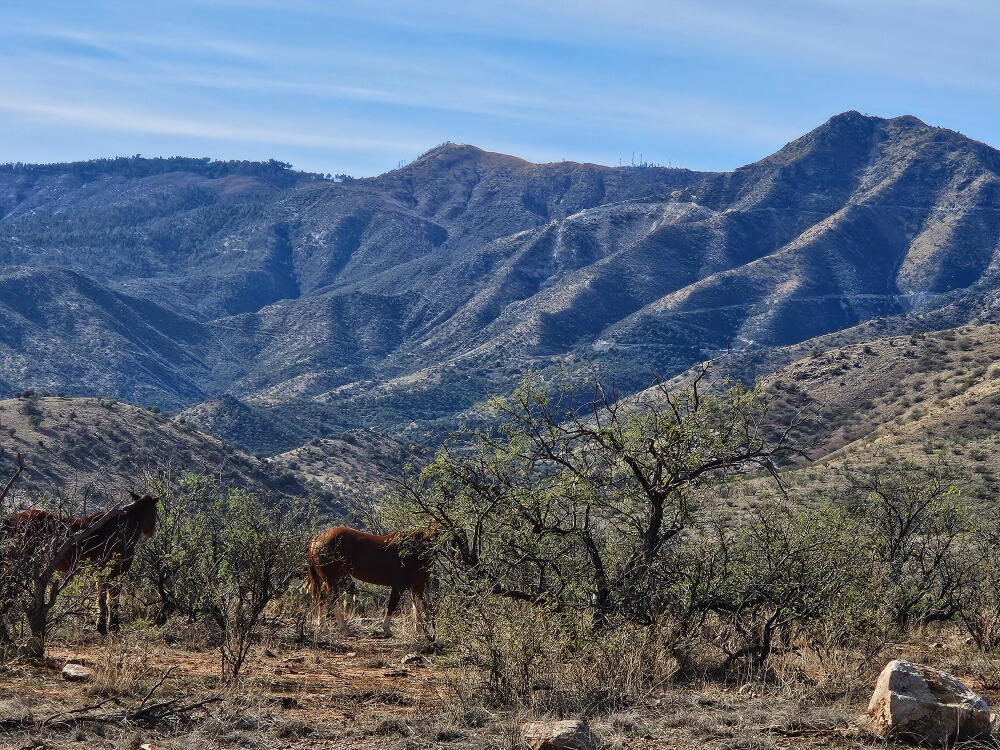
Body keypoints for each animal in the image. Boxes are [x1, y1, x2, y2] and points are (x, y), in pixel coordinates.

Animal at [4, 492, 158, 633]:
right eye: (155, 511)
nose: (151, 531)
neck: (124, 527)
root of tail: (11, 520)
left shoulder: (101, 571)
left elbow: (101, 597)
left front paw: (101, 625)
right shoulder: (118, 570)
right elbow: (112, 598)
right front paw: (112, 625)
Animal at [305, 526, 436, 638]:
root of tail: (318, 538)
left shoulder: (418, 585)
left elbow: (417, 608)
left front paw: (419, 633)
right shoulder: (399, 585)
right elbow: (392, 605)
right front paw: (386, 629)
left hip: (330, 579)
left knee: (321, 597)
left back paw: (323, 628)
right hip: (330, 579)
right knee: (332, 599)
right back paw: (345, 629)